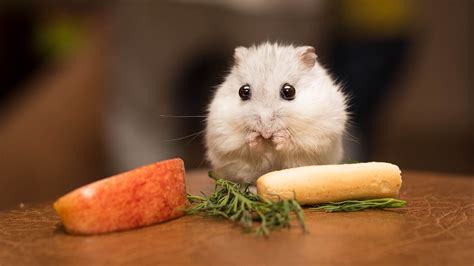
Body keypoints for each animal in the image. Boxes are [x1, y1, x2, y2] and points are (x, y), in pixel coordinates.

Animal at [205, 43, 348, 185]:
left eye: (289, 91)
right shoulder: (225, 137)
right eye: (243, 91)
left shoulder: (317, 135)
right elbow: (246, 146)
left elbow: (295, 143)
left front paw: (281, 136)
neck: (269, 142)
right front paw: (255, 137)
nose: (266, 132)